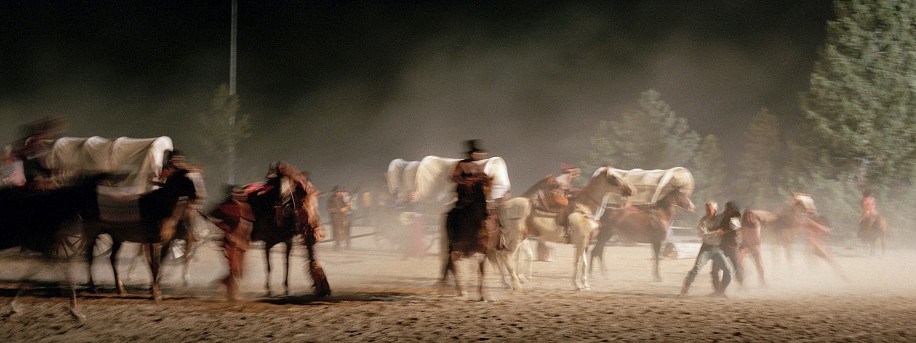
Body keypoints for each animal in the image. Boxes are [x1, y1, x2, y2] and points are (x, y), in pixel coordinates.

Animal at [0, 173, 111, 322]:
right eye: (106, 189)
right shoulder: (55, 252)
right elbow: (68, 280)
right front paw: (75, 311)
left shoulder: (50, 252)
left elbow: (29, 278)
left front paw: (13, 307)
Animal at [83, 169, 199, 300]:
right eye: (186, 179)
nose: (196, 197)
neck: (159, 207)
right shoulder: (154, 242)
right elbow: (154, 266)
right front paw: (155, 294)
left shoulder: (163, 242)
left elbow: (157, 265)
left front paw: (156, 290)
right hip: (92, 233)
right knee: (89, 257)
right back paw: (93, 288)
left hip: (117, 238)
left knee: (112, 258)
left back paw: (121, 289)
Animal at [494, 168, 636, 292]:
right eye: (614, 177)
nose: (630, 190)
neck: (585, 208)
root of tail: (502, 207)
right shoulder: (582, 241)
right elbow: (583, 263)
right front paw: (582, 285)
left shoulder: (582, 244)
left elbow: (578, 262)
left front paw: (580, 285)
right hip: (515, 238)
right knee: (505, 256)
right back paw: (516, 284)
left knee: (500, 256)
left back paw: (507, 283)